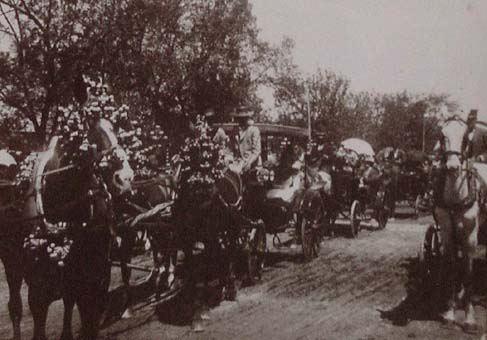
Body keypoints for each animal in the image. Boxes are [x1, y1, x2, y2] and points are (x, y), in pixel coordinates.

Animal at [15, 117, 133, 340]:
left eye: (114, 129)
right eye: (89, 137)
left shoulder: (91, 277)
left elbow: (88, 315)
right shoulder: (36, 286)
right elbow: (39, 317)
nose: (125, 178)